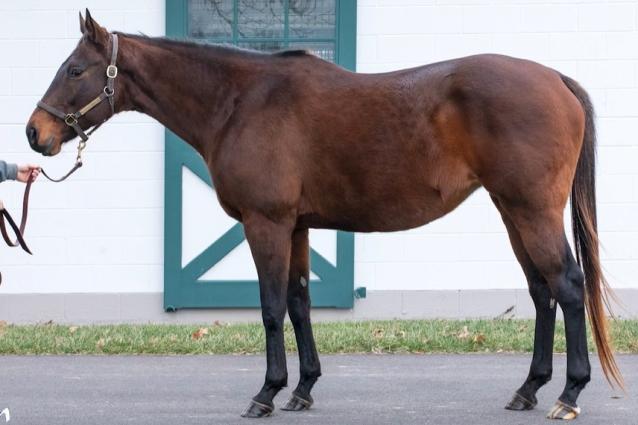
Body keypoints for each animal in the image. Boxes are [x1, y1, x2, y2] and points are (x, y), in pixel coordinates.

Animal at [26, 10, 622, 420]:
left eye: (74, 69)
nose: (36, 133)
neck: (240, 101)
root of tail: (555, 79)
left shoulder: (265, 224)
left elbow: (270, 309)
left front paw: (265, 394)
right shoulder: (296, 226)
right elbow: (298, 305)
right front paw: (303, 388)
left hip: (531, 211)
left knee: (568, 286)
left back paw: (569, 392)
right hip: (511, 212)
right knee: (542, 292)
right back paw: (528, 389)